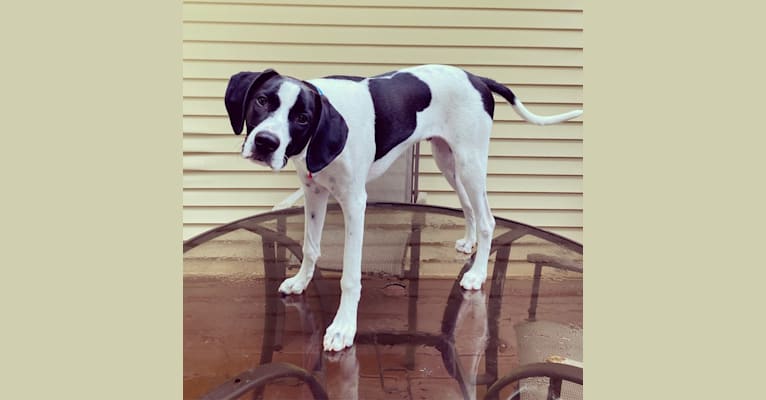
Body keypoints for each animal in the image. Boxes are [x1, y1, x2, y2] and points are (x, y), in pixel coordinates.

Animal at [225, 65, 584, 350]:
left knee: (487, 220)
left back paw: (477, 273)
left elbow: (350, 276)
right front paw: (301, 282)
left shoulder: (354, 203)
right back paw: (468, 243)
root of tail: (476, 78)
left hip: (470, 162)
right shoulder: (314, 191)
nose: (266, 143)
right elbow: (311, 247)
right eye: (262, 101)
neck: (321, 134)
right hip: (448, 161)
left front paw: (343, 328)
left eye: (302, 118)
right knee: (468, 206)